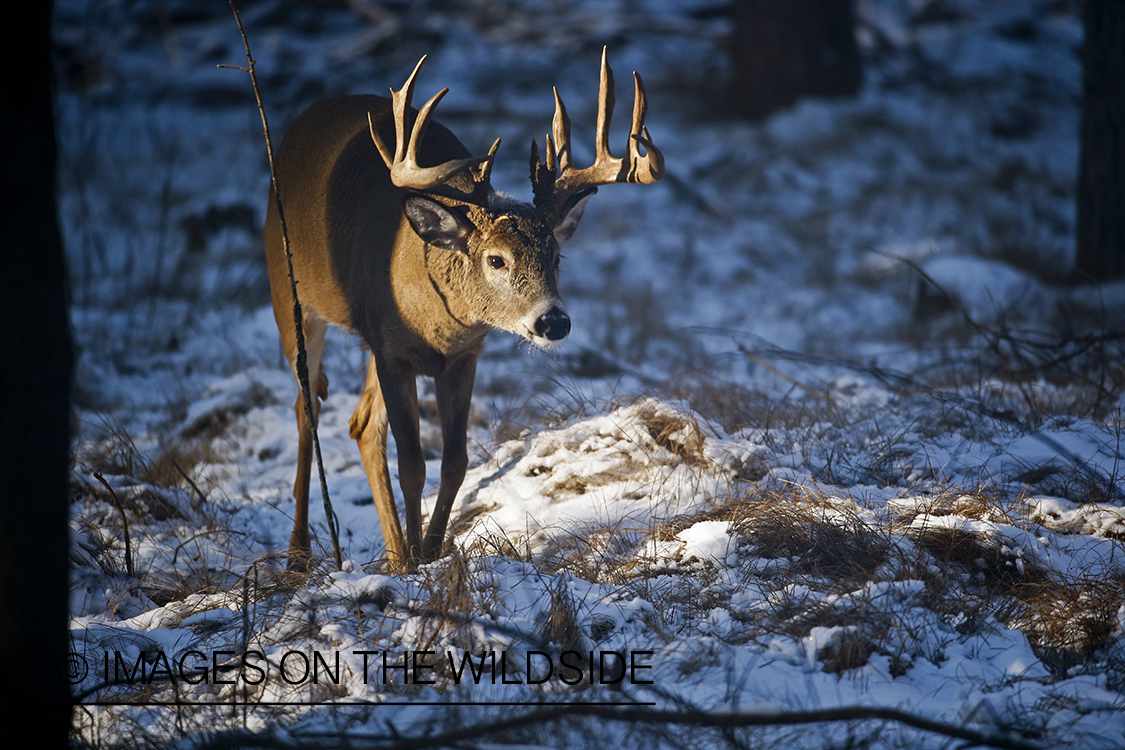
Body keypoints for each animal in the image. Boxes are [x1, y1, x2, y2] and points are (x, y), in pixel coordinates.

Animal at [264, 49, 661, 571]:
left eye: (556, 256)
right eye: (496, 259)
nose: (554, 320)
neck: (437, 324)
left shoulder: (463, 356)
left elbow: (455, 462)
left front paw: (428, 554)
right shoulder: (392, 353)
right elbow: (412, 463)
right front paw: (416, 562)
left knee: (362, 424)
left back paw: (392, 552)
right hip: (287, 291)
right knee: (304, 408)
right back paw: (299, 554)